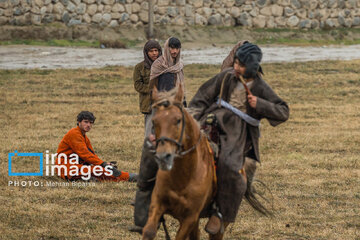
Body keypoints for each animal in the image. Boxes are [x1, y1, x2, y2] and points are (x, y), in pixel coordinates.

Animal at [142, 86, 217, 240]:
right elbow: (149, 231)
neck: (184, 177)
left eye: (178, 120)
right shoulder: (157, 203)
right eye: (154, 122)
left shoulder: (190, 218)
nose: (163, 157)